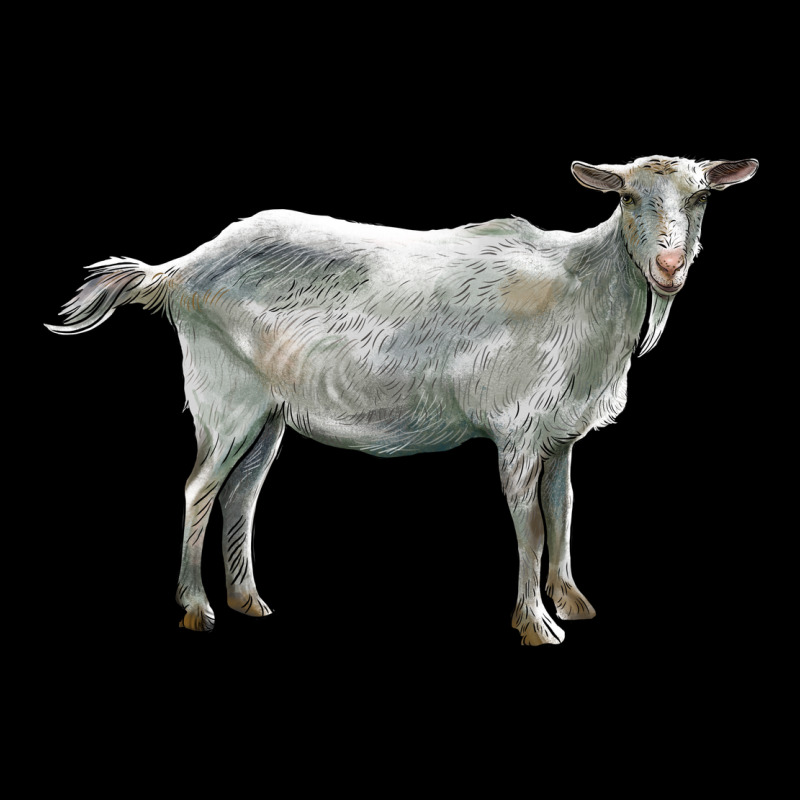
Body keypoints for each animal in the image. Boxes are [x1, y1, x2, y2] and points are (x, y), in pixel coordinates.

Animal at [46, 155, 758, 645]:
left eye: (700, 196)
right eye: (629, 196)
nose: (669, 267)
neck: (582, 290)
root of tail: (177, 272)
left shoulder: (560, 437)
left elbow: (563, 510)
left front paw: (571, 602)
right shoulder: (518, 430)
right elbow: (529, 523)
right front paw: (535, 623)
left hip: (269, 412)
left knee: (241, 492)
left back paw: (248, 599)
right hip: (226, 398)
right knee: (198, 487)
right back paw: (197, 608)